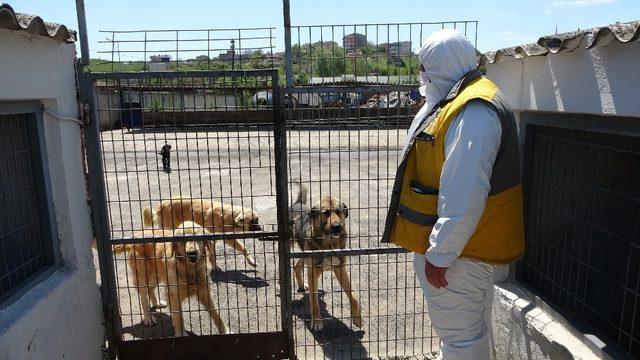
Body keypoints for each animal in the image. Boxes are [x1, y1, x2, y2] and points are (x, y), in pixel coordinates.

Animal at [288, 188, 360, 332]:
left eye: (339, 211)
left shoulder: (340, 268)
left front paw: (357, 317)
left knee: (297, 265)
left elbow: (353, 294)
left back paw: (301, 285)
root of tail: (297, 203)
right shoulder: (312, 272)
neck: (329, 243)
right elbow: (314, 300)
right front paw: (316, 321)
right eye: (326, 213)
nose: (337, 227)